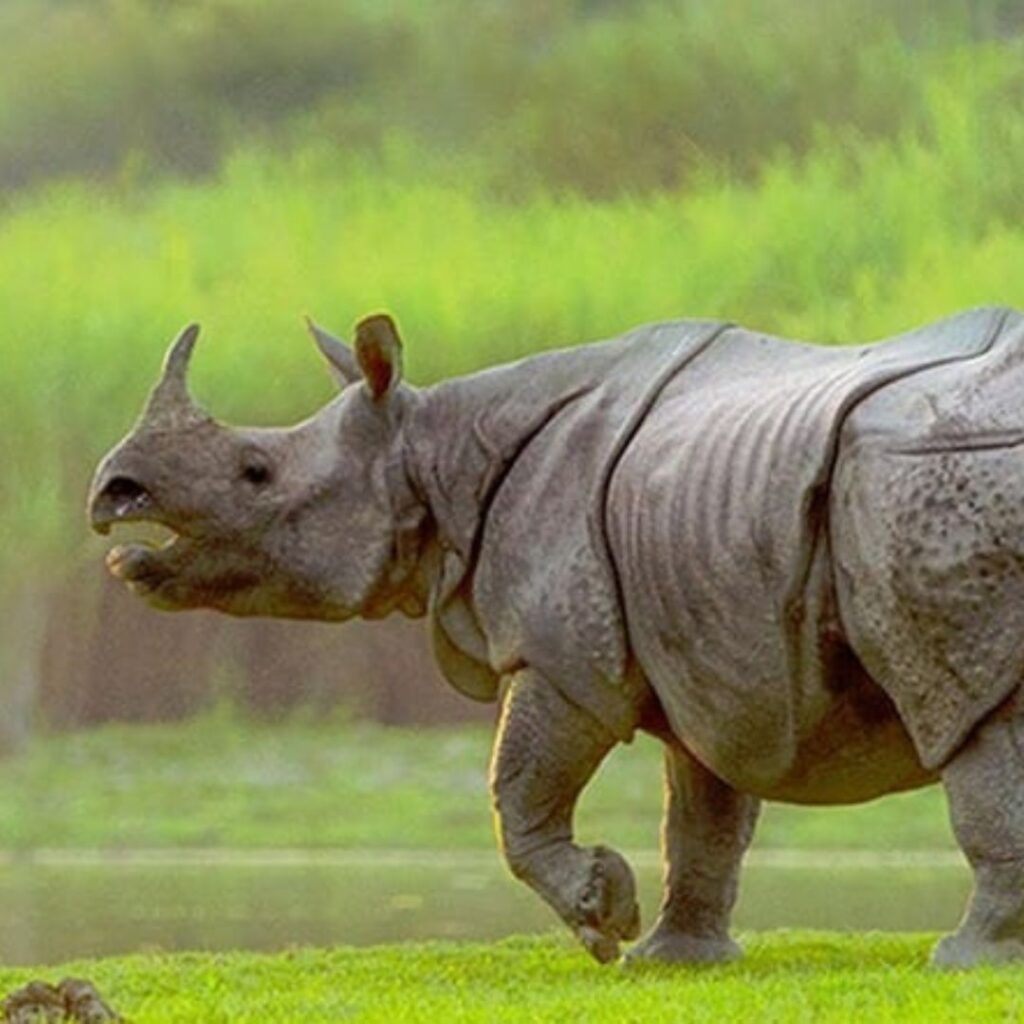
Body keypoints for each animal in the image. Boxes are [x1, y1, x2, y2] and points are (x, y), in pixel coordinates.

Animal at [88, 305, 1024, 966]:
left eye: (256, 472)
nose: (112, 492)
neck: (432, 450)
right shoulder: (708, 642)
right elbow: (702, 812)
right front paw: (677, 958)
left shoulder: (565, 650)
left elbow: (518, 788)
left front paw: (604, 918)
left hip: (925, 477)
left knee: (967, 715)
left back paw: (962, 961)